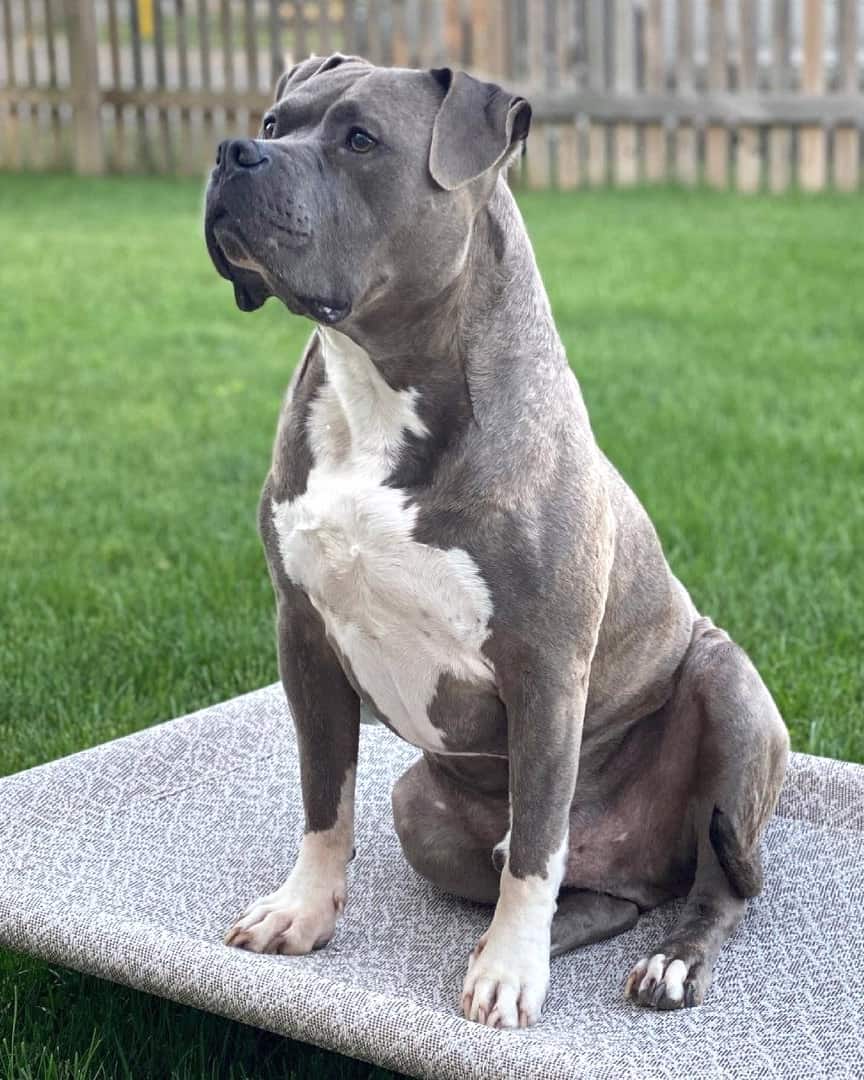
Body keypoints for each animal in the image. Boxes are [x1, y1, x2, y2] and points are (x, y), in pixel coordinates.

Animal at [204, 52, 790, 1028]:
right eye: (276, 122)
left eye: (360, 140)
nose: (232, 152)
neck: (381, 383)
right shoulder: (304, 633)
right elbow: (325, 797)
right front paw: (302, 912)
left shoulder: (546, 665)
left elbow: (537, 844)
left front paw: (511, 975)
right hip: (420, 807)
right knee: (593, 894)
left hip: (730, 688)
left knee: (710, 884)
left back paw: (662, 960)